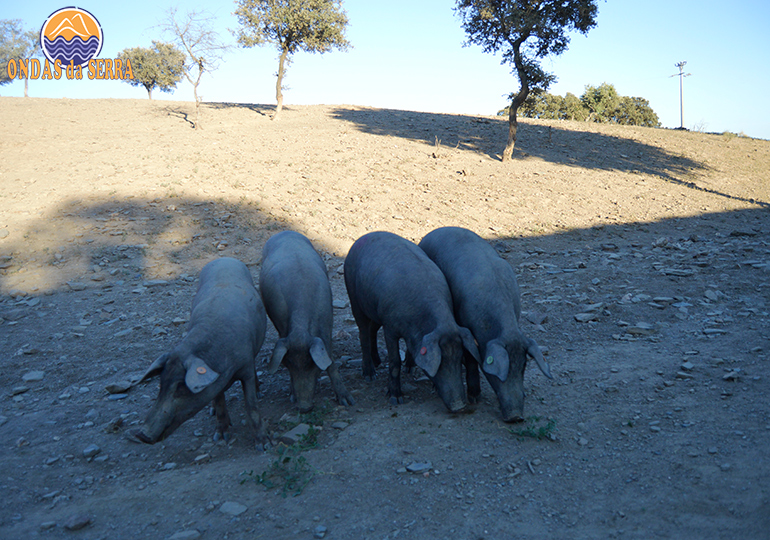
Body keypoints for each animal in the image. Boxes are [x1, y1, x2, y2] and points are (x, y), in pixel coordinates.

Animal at [128, 257, 269, 446]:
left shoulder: (245, 365)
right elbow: (219, 401)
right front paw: (220, 437)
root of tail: (223, 258)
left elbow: (251, 405)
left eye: (181, 386)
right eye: (161, 383)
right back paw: (212, 411)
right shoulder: (215, 383)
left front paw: (264, 444)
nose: (141, 435)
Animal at [259, 230, 354, 413]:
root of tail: (284, 232)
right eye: (288, 364)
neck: (300, 330)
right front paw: (292, 396)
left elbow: (330, 360)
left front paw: (347, 401)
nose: (304, 407)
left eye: (312, 364)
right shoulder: (282, 327)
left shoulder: (327, 323)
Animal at [344, 231, 480, 412]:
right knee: (363, 334)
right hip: (354, 298)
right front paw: (396, 399)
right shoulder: (390, 328)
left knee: (372, 330)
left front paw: (412, 370)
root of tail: (362, 238)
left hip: (374, 310)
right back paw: (370, 375)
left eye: (459, 359)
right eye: (441, 362)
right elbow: (394, 362)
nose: (459, 406)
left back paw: (378, 362)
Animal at [419, 226, 553, 423]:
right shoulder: (465, 326)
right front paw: (475, 398)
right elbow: (471, 358)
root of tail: (433, 232)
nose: (516, 417)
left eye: (523, 367)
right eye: (502, 372)